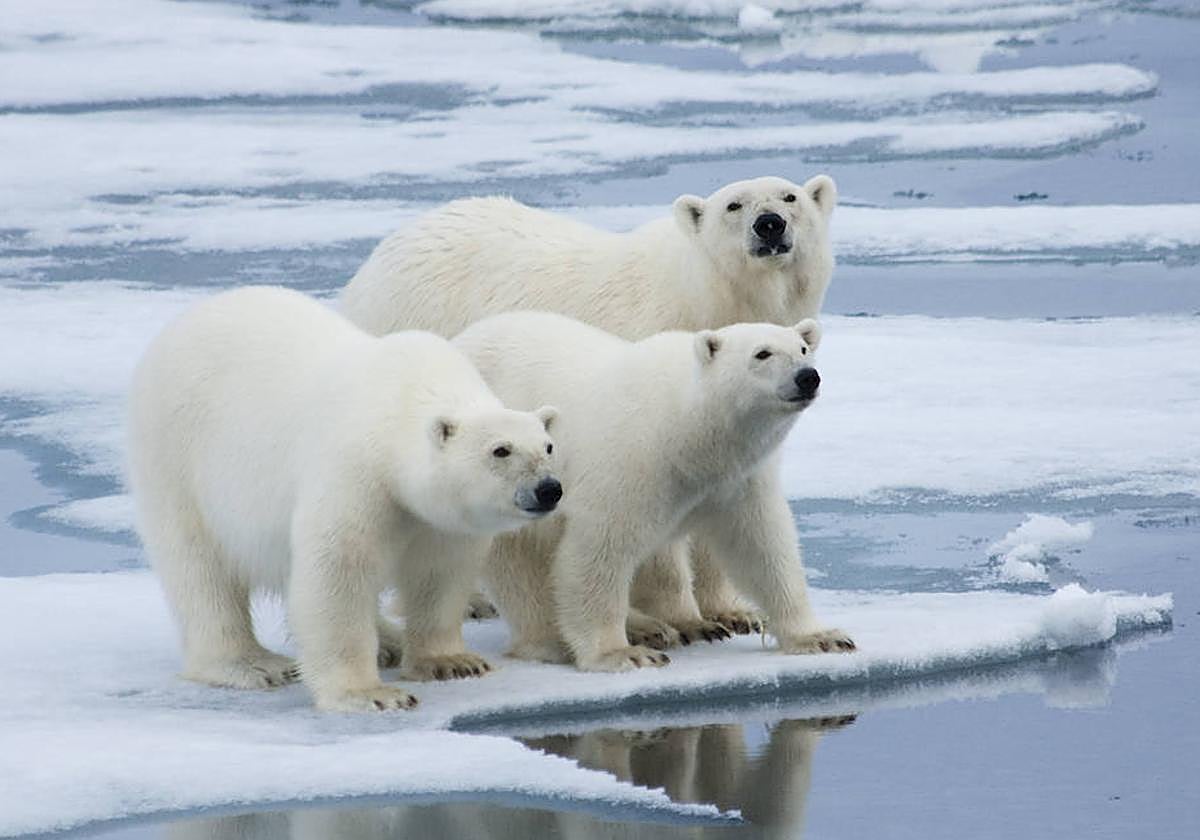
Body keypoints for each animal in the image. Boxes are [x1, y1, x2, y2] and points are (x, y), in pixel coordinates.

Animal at [126, 286, 561, 712]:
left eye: (548, 446)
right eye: (500, 450)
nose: (548, 489)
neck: (400, 406)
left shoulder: (441, 520)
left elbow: (440, 572)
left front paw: (453, 662)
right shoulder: (356, 473)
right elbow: (339, 570)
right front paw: (371, 694)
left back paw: (389, 640)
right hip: (177, 454)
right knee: (199, 567)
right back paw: (253, 664)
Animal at [340, 174, 838, 642]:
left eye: (790, 196)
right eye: (734, 205)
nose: (770, 224)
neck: (702, 296)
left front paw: (733, 612)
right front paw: (683, 619)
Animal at [453, 311, 854, 672]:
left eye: (803, 348)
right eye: (762, 354)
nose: (807, 377)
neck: (686, 428)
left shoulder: (737, 480)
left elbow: (762, 545)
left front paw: (820, 637)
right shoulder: (632, 462)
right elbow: (599, 552)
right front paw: (620, 654)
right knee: (515, 559)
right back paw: (554, 639)